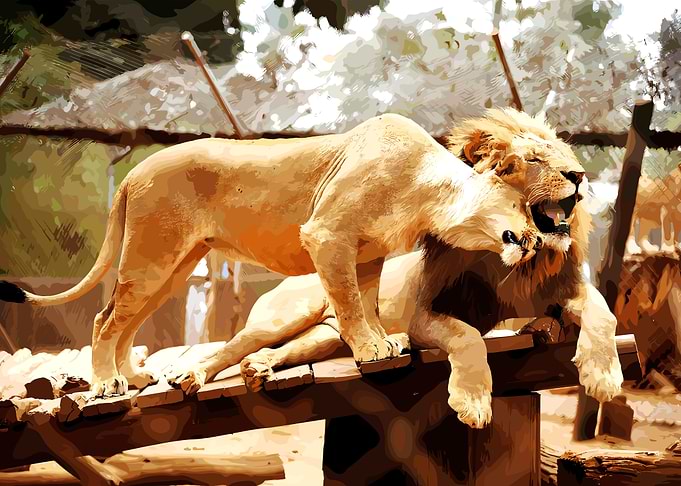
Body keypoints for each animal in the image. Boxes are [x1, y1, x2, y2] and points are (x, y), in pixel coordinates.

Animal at [0, 113, 541, 397]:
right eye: (521, 206)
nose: (536, 238)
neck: (428, 192)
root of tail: (133, 172)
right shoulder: (327, 234)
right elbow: (348, 304)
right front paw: (369, 348)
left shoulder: (366, 254)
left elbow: (365, 302)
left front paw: (384, 342)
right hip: (152, 257)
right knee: (105, 318)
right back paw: (108, 383)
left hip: (173, 269)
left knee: (127, 320)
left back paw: (136, 376)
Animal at [168, 109, 623, 429]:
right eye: (534, 160)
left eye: (565, 156)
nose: (579, 175)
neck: (514, 263)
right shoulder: (427, 313)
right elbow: (468, 337)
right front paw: (473, 403)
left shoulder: (565, 290)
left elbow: (604, 314)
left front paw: (602, 376)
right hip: (282, 318)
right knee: (233, 346)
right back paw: (190, 374)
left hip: (323, 338)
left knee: (274, 352)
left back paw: (261, 367)